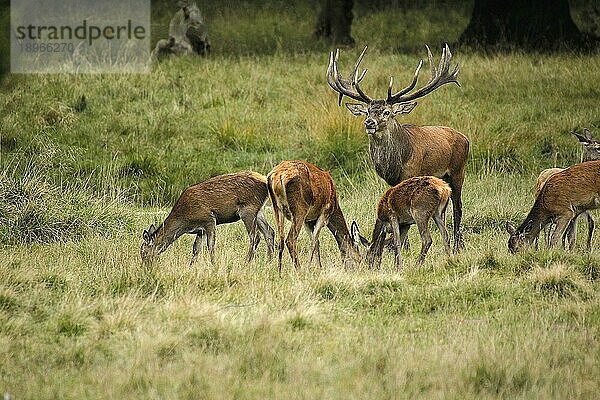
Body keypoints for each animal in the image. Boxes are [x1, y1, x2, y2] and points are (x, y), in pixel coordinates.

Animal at [141, 170, 274, 264]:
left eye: (143, 253)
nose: (146, 266)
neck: (184, 221)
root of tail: (265, 180)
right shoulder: (200, 230)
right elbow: (195, 249)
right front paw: (191, 266)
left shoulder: (209, 219)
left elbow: (210, 246)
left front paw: (214, 264)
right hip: (259, 210)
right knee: (270, 232)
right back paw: (268, 262)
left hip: (248, 209)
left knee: (255, 236)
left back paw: (246, 262)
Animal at [328, 43, 468, 250]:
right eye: (367, 111)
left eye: (387, 112)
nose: (369, 123)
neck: (396, 163)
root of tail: (465, 138)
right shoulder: (391, 182)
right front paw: (402, 244)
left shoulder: (412, 173)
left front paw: (402, 245)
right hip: (442, 178)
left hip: (458, 171)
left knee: (458, 206)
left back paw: (458, 244)